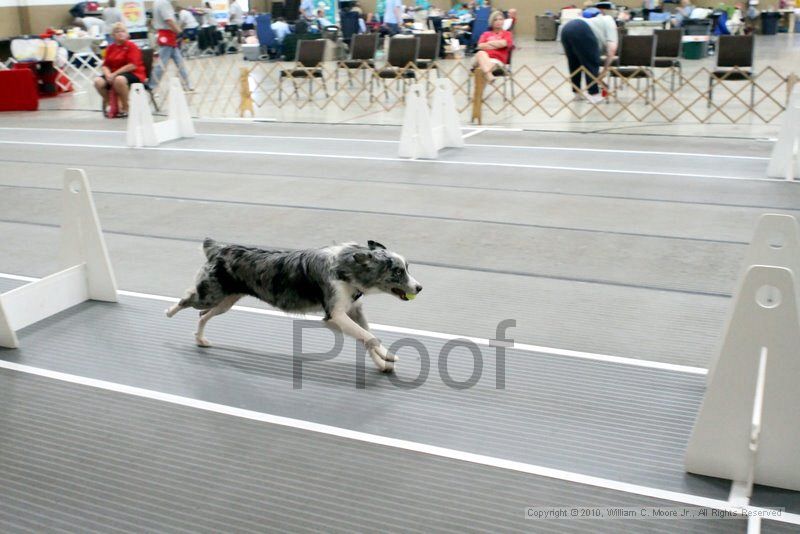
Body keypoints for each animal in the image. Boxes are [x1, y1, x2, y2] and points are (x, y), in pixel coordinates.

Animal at [166, 239, 422, 372]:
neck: (344, 267)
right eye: (397, 272)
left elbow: (367, 337)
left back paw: (201, 340)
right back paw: (169, 312)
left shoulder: (353, 310)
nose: (419, 288)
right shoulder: (335, 315)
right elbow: (368, 337)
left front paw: (384, 360)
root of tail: (219, 248)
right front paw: (387, 357)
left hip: (225, 302)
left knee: (202, 315)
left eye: (407, 268)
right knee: (186, 299)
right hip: (210, 295)